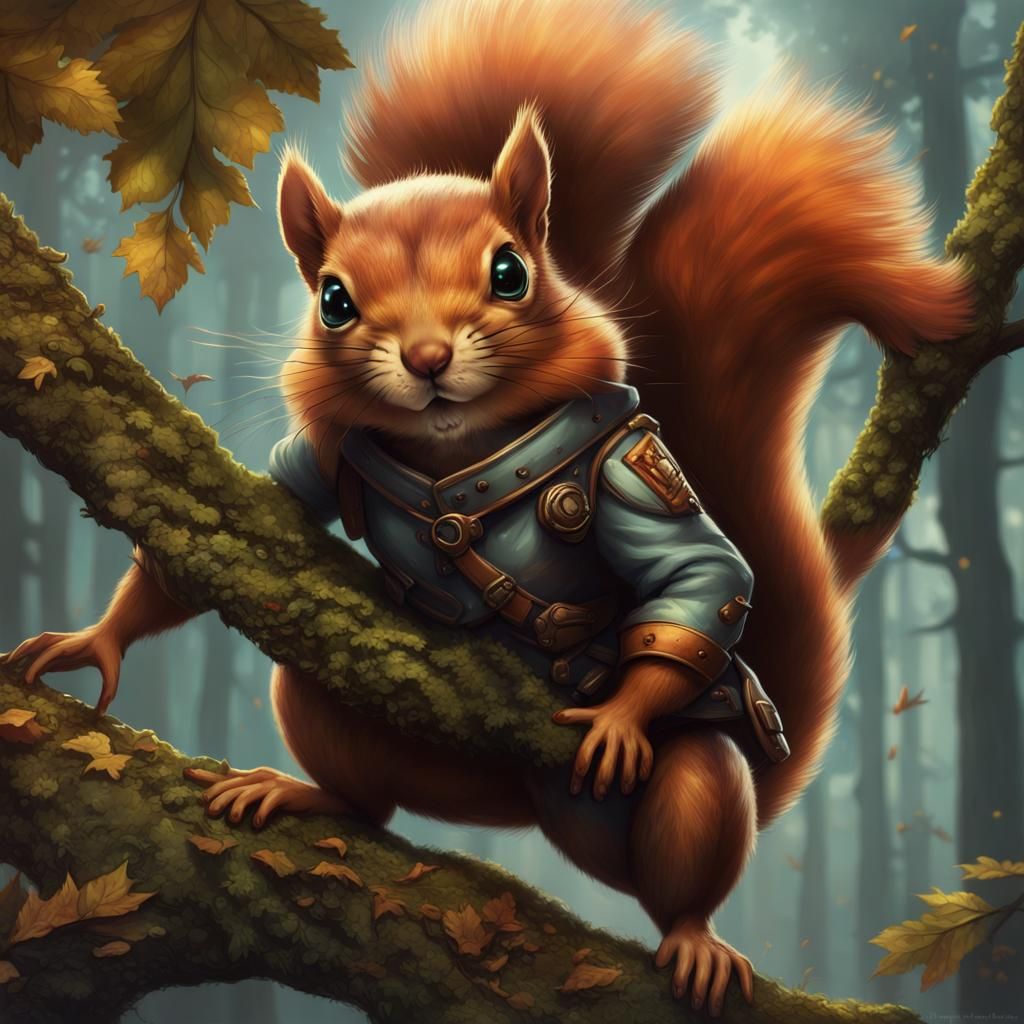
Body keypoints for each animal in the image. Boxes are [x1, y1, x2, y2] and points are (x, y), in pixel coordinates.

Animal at [6, 0, 973, 1014]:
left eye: (511, 273)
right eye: (333, 298)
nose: (428, 358)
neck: (455, 453)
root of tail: (521, 811)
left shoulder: (627, 458)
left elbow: (701, 568)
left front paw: (622, 717)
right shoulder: (321, 453)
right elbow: (226, 531)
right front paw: (93, 641)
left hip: (679, 780)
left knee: (694, 817)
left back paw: (692, 933)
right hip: (348, 715)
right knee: (360, 784)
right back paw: (315, 796)